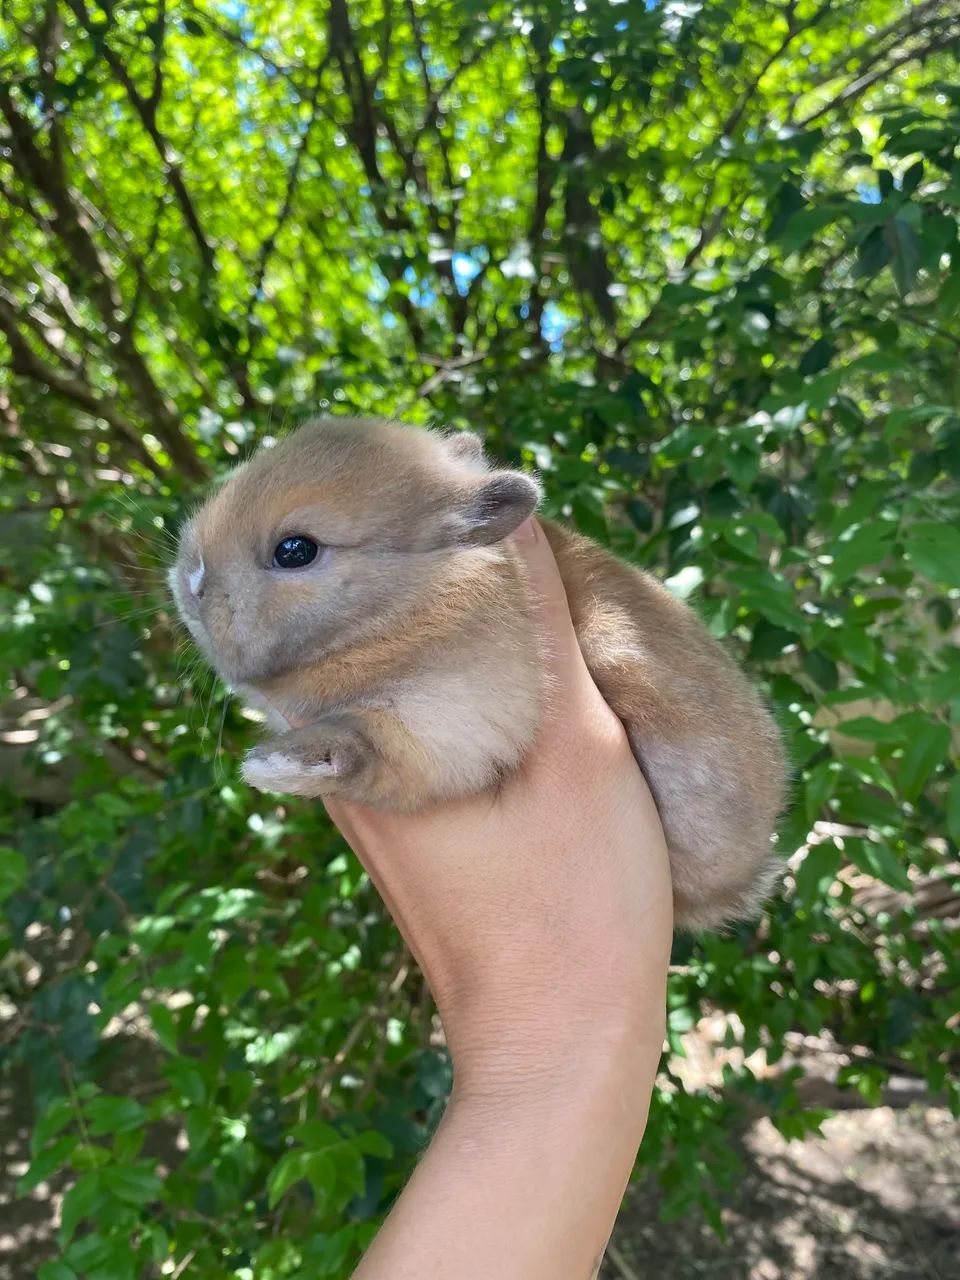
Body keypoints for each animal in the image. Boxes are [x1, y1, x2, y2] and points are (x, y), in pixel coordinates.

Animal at [170, 416, 786, 929]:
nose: (192, 581)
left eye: (295, 550)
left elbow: (375, 749)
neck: (403, 604)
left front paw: (280, 766)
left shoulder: (461, 715)